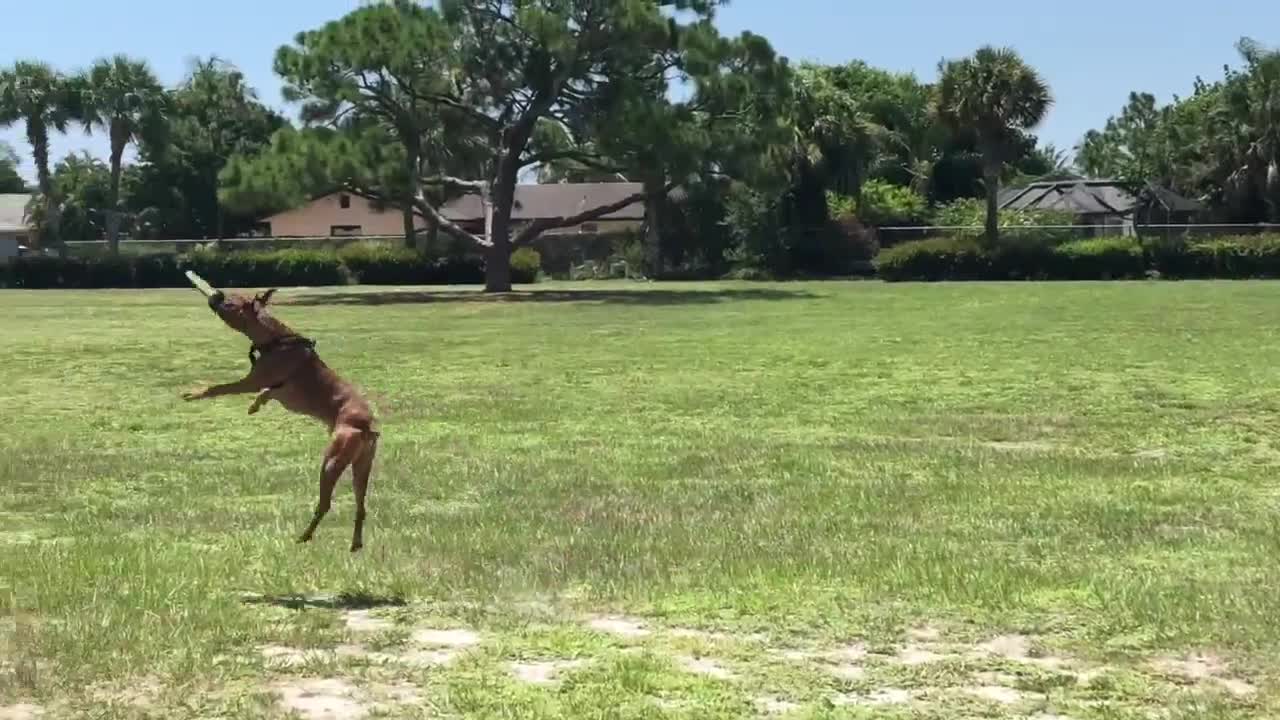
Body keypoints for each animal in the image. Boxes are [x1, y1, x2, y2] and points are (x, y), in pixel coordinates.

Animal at [183, 285, 376, 548]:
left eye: (231, 302)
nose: (218, 293)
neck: (276, 339)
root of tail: (368, 426)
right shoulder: (275, 390)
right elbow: (267, 394)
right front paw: (254, 406)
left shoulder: (252, 381)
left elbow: (218, 388)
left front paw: (194, 393)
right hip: (361, 466)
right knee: (361, 506)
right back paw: (355, 544)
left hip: (332, 461)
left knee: (325, 504)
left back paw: (304, 537)